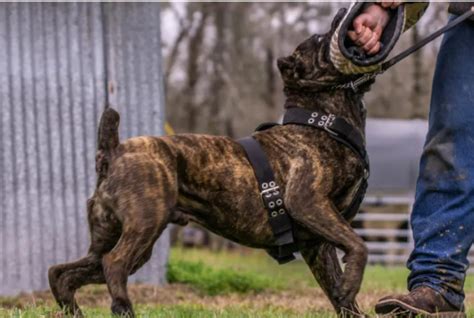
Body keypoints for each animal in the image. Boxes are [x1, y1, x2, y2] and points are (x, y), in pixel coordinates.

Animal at [50, 9, 372, 318]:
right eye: (319, 39)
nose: (342, 14)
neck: (321, 121)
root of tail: (113, 151)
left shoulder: (317, 241)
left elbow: (338, 293)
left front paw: (347, 296)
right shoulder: (308, 202)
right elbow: (359, 245)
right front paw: (351, 282)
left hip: (113, 237)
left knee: (63, 272)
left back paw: (74, 310)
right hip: (144, 225)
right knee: (113, 264)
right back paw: (123, 308)